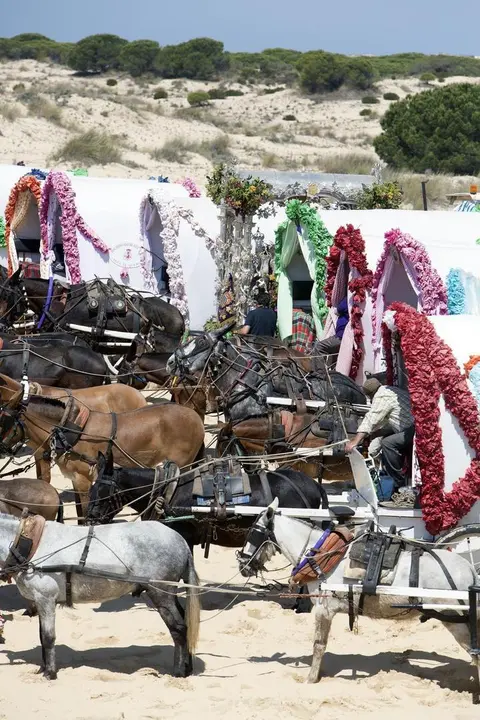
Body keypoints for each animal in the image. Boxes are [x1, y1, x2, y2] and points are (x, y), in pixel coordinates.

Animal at [0, 378, 205, 522]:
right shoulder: (75, 480)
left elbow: (83, 515)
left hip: (182, 466)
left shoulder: (83, 480)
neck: (71, 430)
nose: (1, 449)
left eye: (3, 421)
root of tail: (195, 417)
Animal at [0, 513, 200, 679]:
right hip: (168, 593)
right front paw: (42, 668)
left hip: (160, 592)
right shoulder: (40, 601)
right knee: (186, 622)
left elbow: (48, 637)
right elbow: (42, 636)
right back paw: (188, 666)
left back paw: (179, 671)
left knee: (179, 628)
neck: (30, 544)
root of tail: (181, 542)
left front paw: (50, 672)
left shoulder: (45, 598)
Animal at [86, 451, 328, 552]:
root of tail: (315, 485)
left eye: (102, 491)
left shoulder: (182, 535)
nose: (89, 519)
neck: (167, 489)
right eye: (91, 489)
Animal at [238, 497, 480, 691]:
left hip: (455, 620)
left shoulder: (324, 609)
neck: (321, 553)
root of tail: (469, 569)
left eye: (253, 532)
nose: (241, 564)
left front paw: (311, 678)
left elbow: (318, 645)